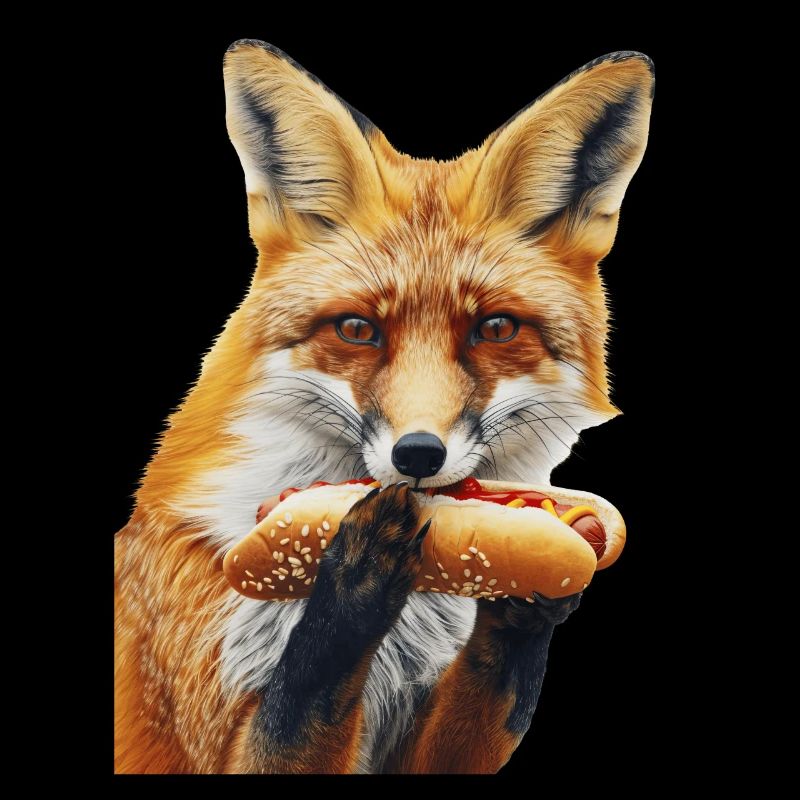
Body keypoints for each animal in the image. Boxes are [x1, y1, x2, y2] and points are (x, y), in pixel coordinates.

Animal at [114, 40, 654, 774]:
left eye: (495, 329)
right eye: (357, 330)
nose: (418, 455)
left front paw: (529, 600)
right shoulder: (206, 723)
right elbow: (303, 693)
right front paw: (355, 576)